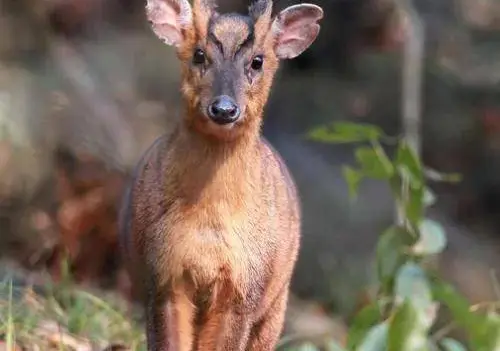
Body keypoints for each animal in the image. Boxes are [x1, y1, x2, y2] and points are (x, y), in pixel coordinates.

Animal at [120, 0, 324, 350]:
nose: (224, 109)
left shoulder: (244, 291)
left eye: (257, 61)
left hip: (276, 307)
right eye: (199, 54)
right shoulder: (161, 278)